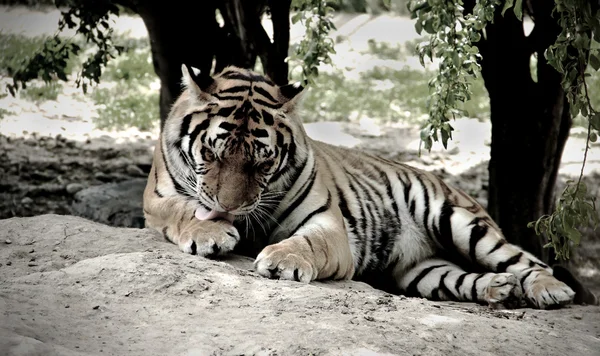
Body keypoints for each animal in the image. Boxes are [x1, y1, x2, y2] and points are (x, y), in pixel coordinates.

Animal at [143, 63, 596, 308]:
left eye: (263, 161)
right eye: (213, 153)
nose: (229, 209)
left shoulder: (328, 225)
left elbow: (308, 242)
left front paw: (283, 260)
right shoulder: (156, 199)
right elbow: (182, 209)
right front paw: (210, 231)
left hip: (460, 222)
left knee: (530, 261)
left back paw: (550, 290)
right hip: (423, 272)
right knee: (462, 279)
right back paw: (496, 290)